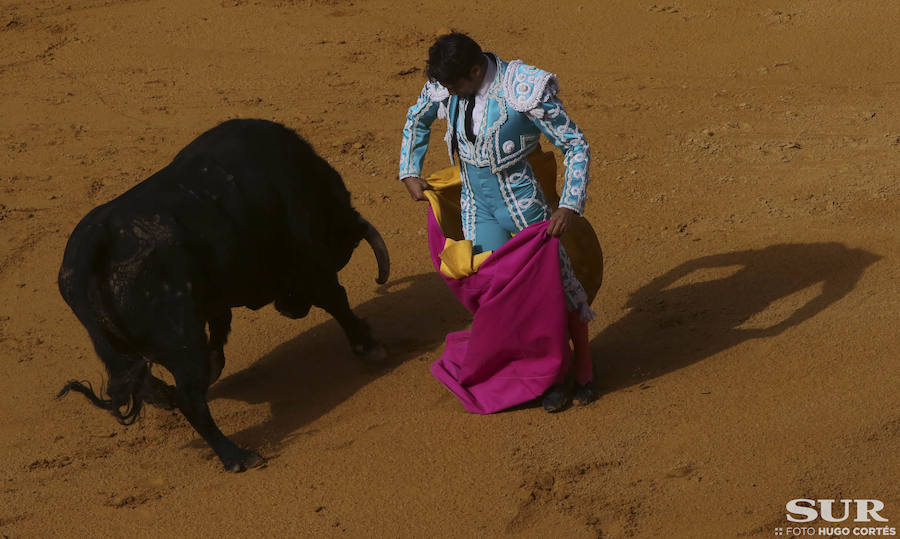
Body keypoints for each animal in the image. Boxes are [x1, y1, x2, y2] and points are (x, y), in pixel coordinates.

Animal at [56, 119, 390, 472]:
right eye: (342, 249)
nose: (290, 309)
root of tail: (96, 242)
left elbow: (220, 326)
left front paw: (214, 365)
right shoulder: (313, 265)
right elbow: (336, 300)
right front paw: (370, 347)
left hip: (129, 348)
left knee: (148, 382)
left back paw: (168, 397)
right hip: (181, 342)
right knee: (191, 399)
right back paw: (237, 456)